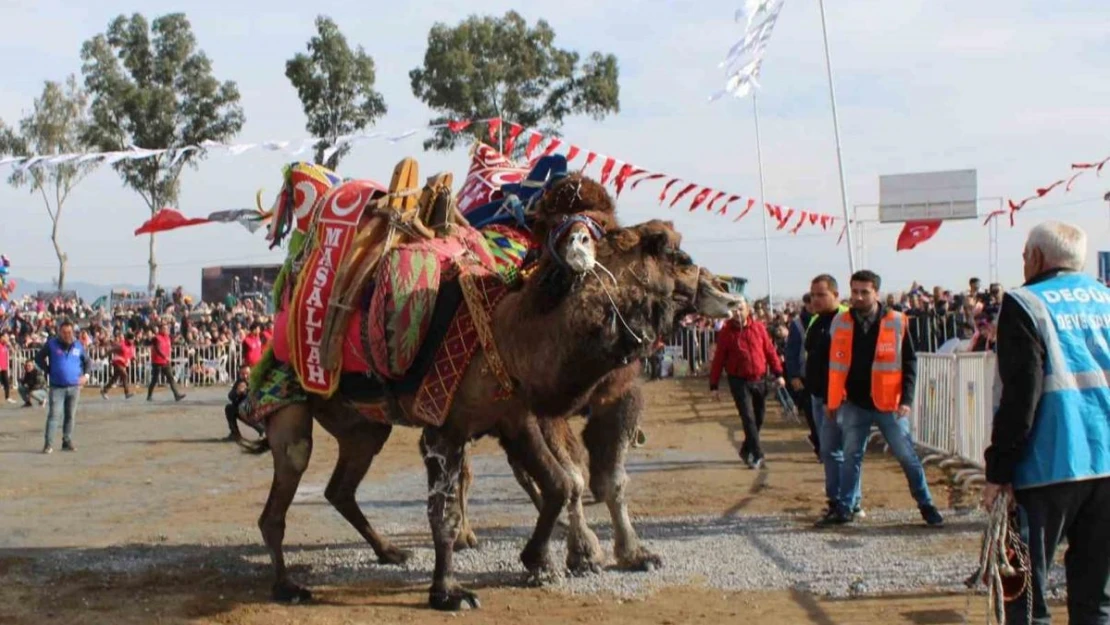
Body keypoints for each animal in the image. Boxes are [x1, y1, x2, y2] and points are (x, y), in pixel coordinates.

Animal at [245, 216, 719, 612]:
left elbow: (558, 485)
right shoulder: (444, 430)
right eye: (679, 257)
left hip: (363, 426)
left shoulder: (515, 419)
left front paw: (538, 561)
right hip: (288, 407)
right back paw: (287, 586)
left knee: (341, 487)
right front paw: (449, 593)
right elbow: (445, 515)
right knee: (282, 491)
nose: (720, 287)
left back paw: (389, 551)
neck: (505, 339)